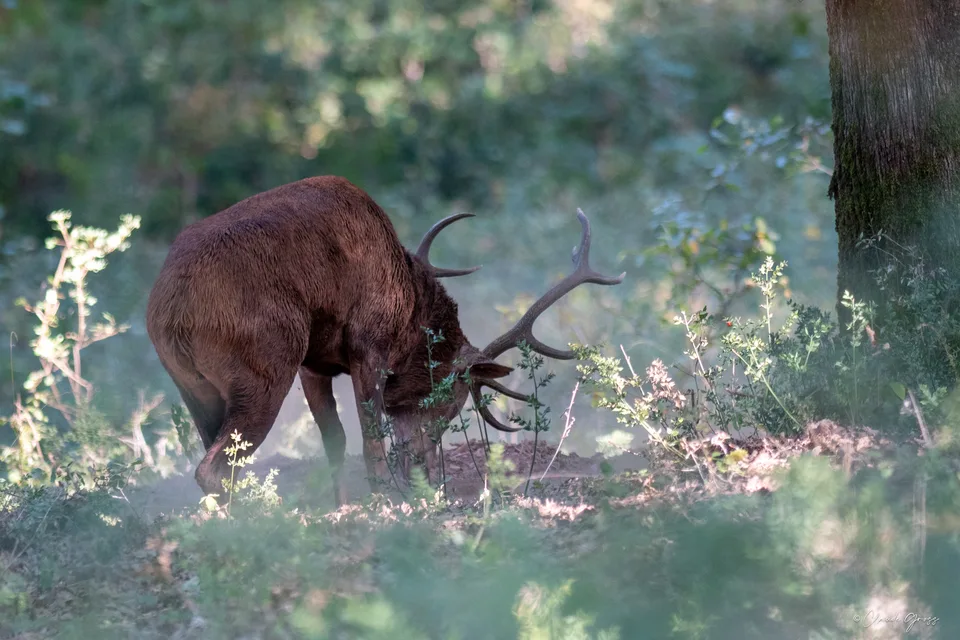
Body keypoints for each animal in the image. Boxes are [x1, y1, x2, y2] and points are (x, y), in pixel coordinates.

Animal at [145, 176, 625, 505]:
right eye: (449, 399)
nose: (430, 469)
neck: (408, 310)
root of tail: (172, 311)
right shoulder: (367, 345)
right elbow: (371, 438)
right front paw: (382, 501)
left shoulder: (313, 364)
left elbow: (335, 441)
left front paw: (343, 505)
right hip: (263, 363)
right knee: (215, 468)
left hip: (192, 385)